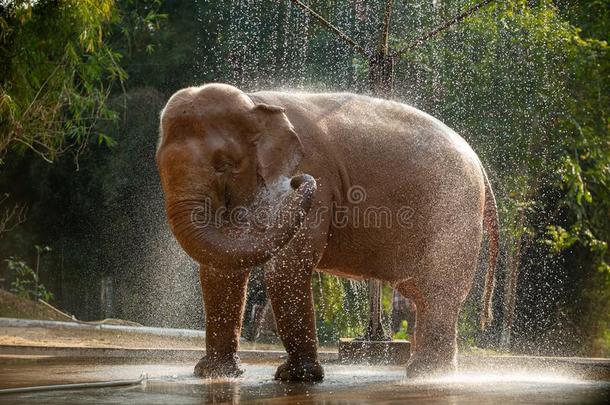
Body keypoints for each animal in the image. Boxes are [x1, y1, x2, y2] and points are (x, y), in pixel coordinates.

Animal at [154, 83, 496, 382]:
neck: (256, 103)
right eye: (158, 165)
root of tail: (480, 166)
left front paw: (295, 377)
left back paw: (427, 374)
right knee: (422, 293)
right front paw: (213, 374)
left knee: (439, 290)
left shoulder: (318, 178)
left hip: (454, 210)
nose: (298, 182)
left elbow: (287, 267)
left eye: (224, 164)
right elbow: (220, 271)